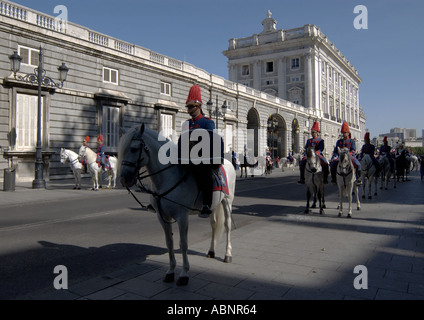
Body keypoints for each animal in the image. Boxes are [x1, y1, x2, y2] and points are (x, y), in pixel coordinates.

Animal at [118, 124, 235, 286]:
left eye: (134, 149)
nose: (124, 179)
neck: (166, 178)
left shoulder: (182, 217)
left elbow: (183, 244)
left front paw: (184, 274)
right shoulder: (162, 217)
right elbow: (170, 243)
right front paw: (170, 272)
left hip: (228, 201)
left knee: (228, 226)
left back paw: (228, 255)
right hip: (213, 205)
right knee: (214, 225)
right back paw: (211, 251)